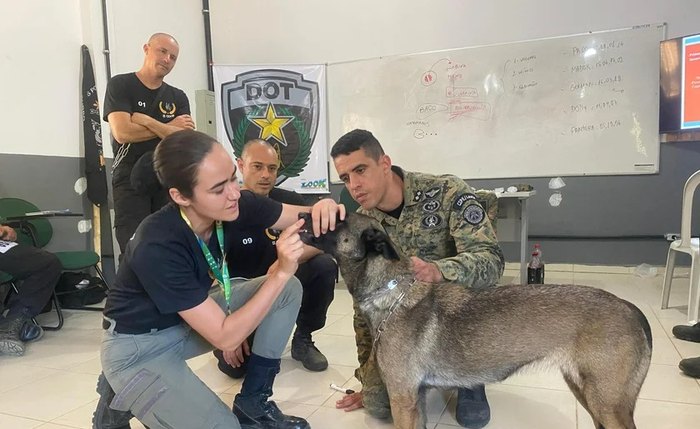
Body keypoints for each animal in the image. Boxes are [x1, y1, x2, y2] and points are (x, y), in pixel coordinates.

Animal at [300, 212, 652, 428]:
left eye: (336, 218)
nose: (302, 213)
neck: (392, 291)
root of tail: (630, 308)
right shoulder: (416, 398)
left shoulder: (402, 397)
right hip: (588, 394)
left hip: (605, 402)